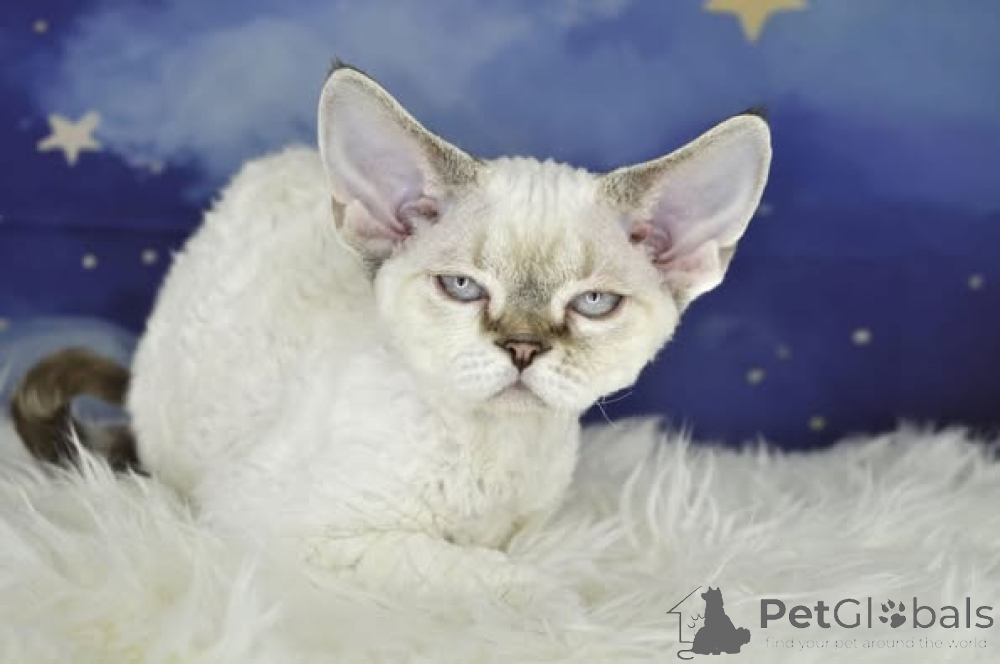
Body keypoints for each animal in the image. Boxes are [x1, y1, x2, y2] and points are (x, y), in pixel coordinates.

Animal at [11, 62, 771, 607]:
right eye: (462, 287)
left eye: (593, 303)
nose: (522, 348)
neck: (492, 455)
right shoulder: (273, 525)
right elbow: (464, 565)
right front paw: (567, 595)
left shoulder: (530, 521)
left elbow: (511, 548)